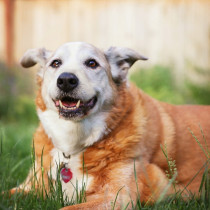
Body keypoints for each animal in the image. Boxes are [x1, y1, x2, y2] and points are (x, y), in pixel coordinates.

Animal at [11, 41, 210, 209]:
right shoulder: (29, 187)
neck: (73, 145)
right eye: (56, 63)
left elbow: (65, 208)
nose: (66, 80)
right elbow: (9, 193)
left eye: (92, 63)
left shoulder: (115, 197)